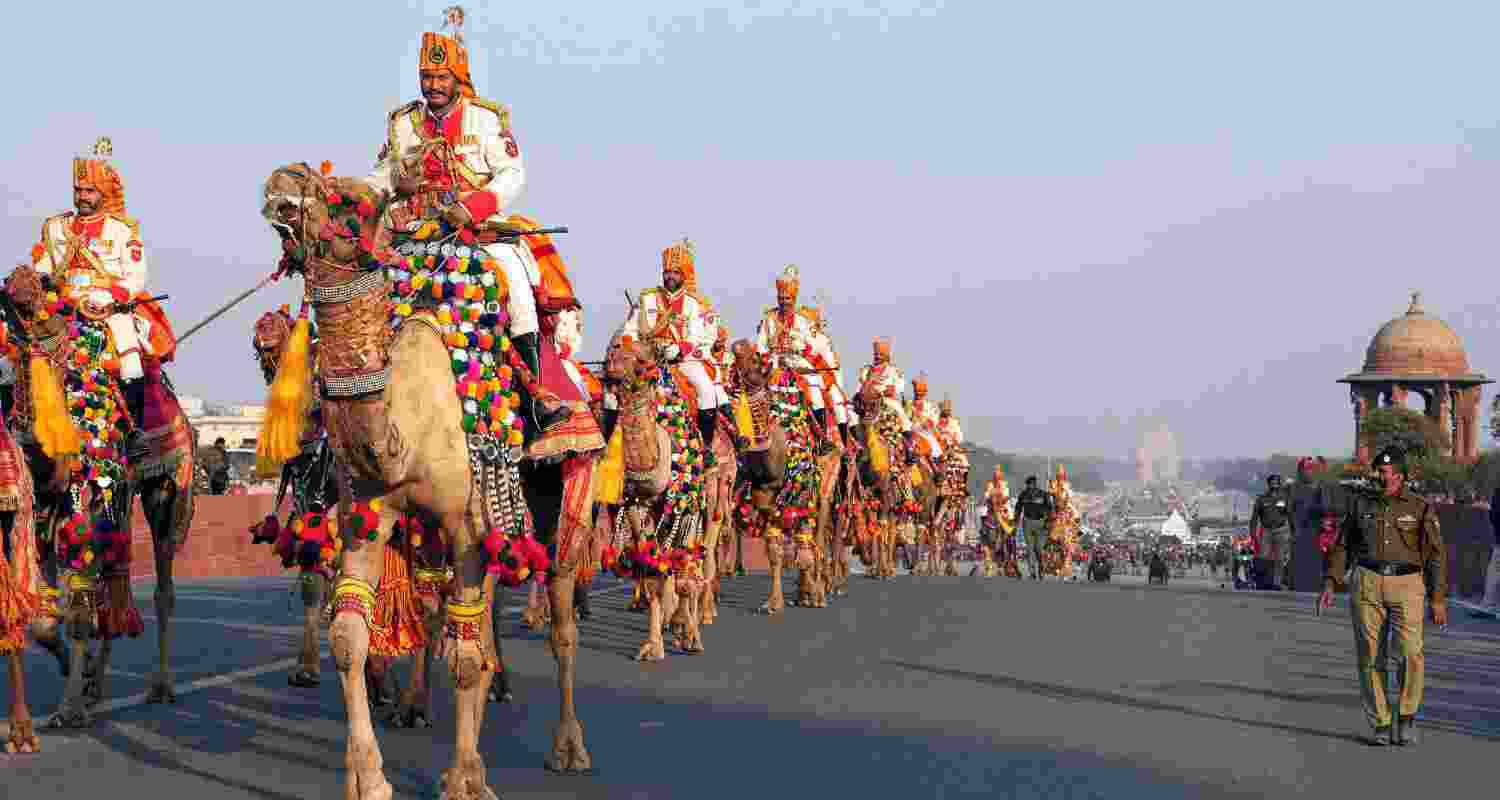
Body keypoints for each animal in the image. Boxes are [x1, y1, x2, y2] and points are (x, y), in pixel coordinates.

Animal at [0, 265, 196, 726]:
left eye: (32, 296)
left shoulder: (84, 492)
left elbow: (76, 608)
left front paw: (68, 708)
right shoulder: (45, 506)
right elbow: (47, 615)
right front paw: (81, 673)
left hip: (165, 486)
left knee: (161, 583)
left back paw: (161, 686)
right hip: (117, 497)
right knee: (112, 574)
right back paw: (97, 685)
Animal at [258, 163, 603, 798]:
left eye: (348, 200)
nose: (281, 186)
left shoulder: (466, 521)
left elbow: (463, 656)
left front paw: (463, 778)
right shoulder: (369, 513)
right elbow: (350, 636)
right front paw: (369, 778)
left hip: (567, 493)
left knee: (562, 620)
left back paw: (568, 749)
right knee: (470, 616)